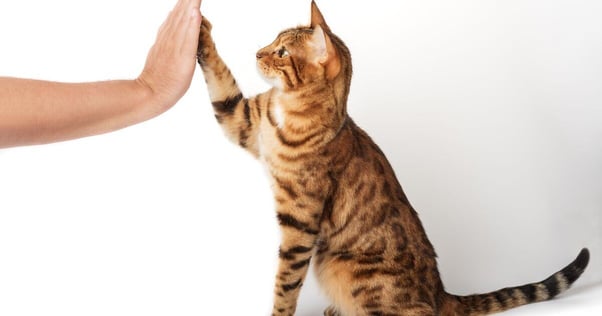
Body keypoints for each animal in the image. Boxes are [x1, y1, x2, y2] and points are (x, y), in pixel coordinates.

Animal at [196, 1, 584, 314]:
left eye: (282, 53)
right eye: (273, 43)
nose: (256, 53)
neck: (286, 109)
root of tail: (441, 292)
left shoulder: (299, 223)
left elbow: (285, 284)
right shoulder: (242, 120)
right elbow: (221, 80)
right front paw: (199, 32)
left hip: (343, 267)